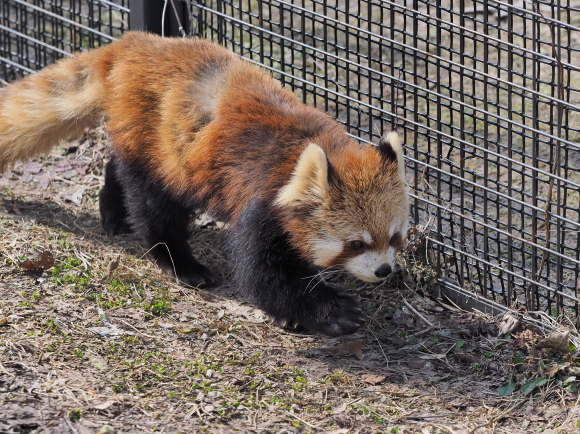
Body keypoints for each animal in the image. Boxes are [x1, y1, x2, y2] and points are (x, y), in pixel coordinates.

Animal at [0, 32, 408, 338]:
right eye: (356, 243)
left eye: (395, 237)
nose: (385, 271)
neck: (308, 152)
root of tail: (133, 43)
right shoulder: (260, 203)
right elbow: (263, 275)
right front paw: (328, 312)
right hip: (160, 147)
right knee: (155, 208)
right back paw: (180, 262)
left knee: (120, 163)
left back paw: (113, 210)